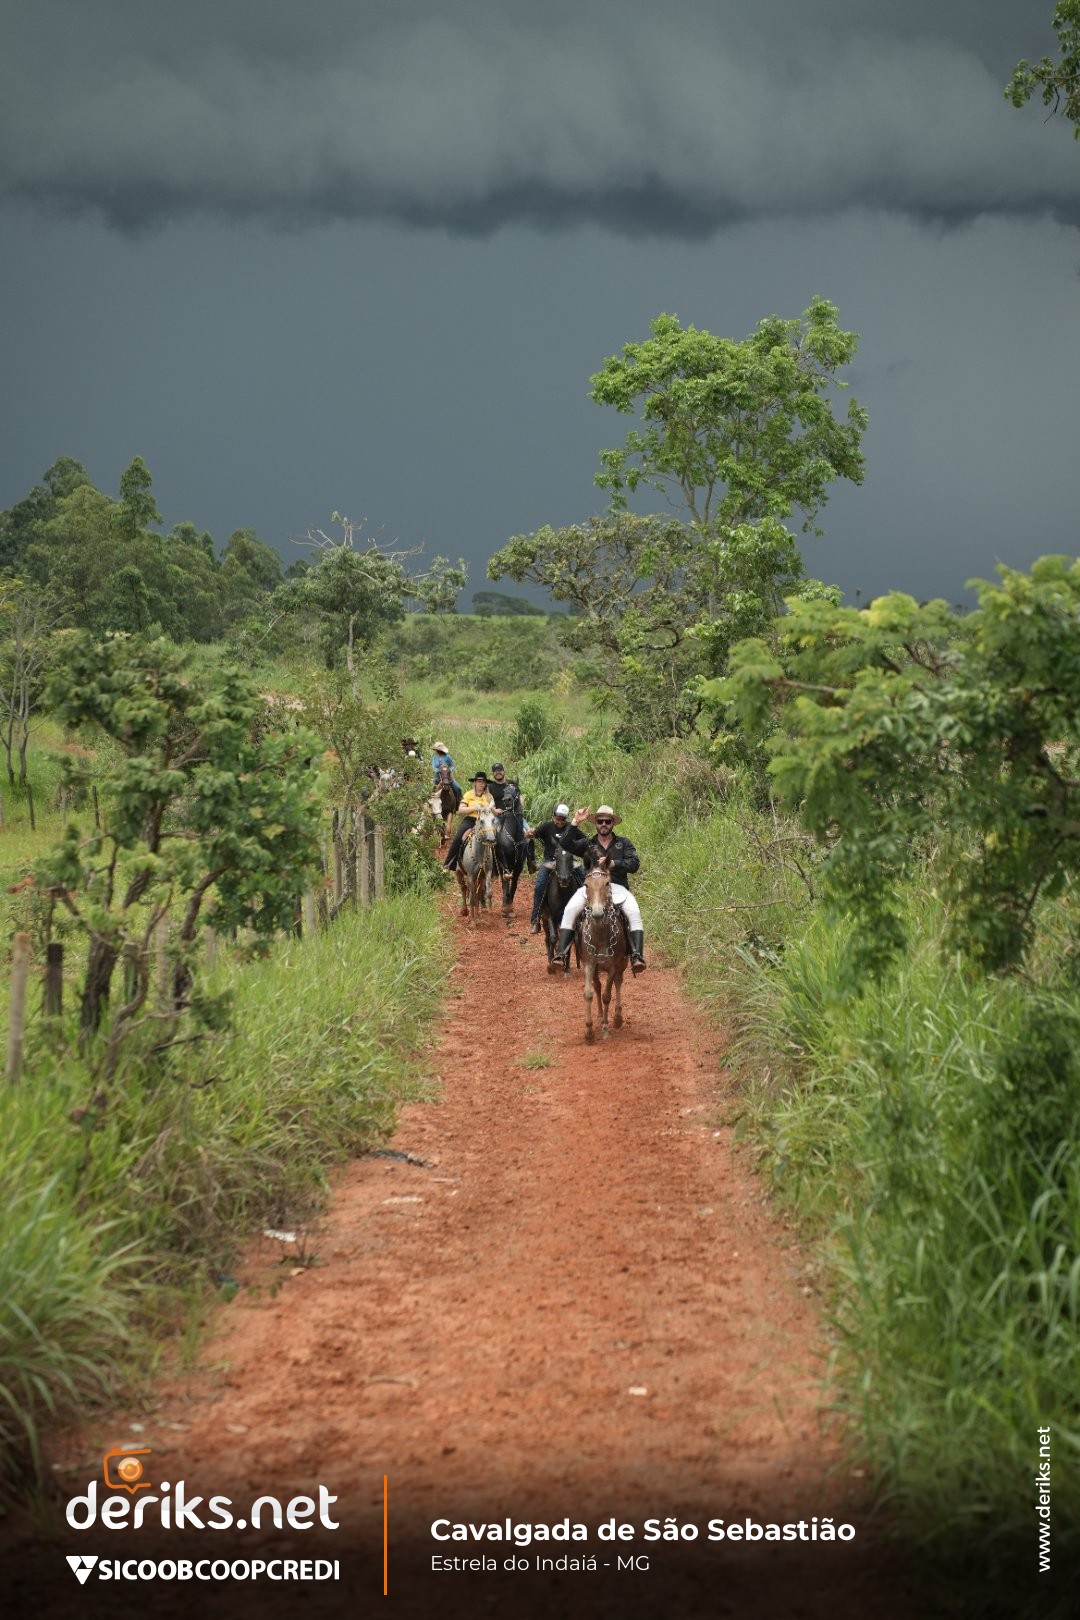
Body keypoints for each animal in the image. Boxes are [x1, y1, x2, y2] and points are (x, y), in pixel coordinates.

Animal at [539, 843, 583, 974]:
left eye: (570, 858)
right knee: (547, 937)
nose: (564, 879)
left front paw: (566, 967)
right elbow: (553, 938)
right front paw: (551, 964)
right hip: (544, 919)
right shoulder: (551, 916)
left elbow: (568, 939)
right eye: (556, 858)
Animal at [574, 857, 629, 1041]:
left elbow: (607, 995)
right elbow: (589, 993)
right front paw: (589, 1031)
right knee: (597, 986)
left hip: (623, 963)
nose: (597, 914)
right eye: (586, 885)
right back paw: (599, 1016)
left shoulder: (612, 967)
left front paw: (606, 1027)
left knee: (618, 982)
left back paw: (617, 1018)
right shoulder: (589, 965)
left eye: (607, 883)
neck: (600, 935)